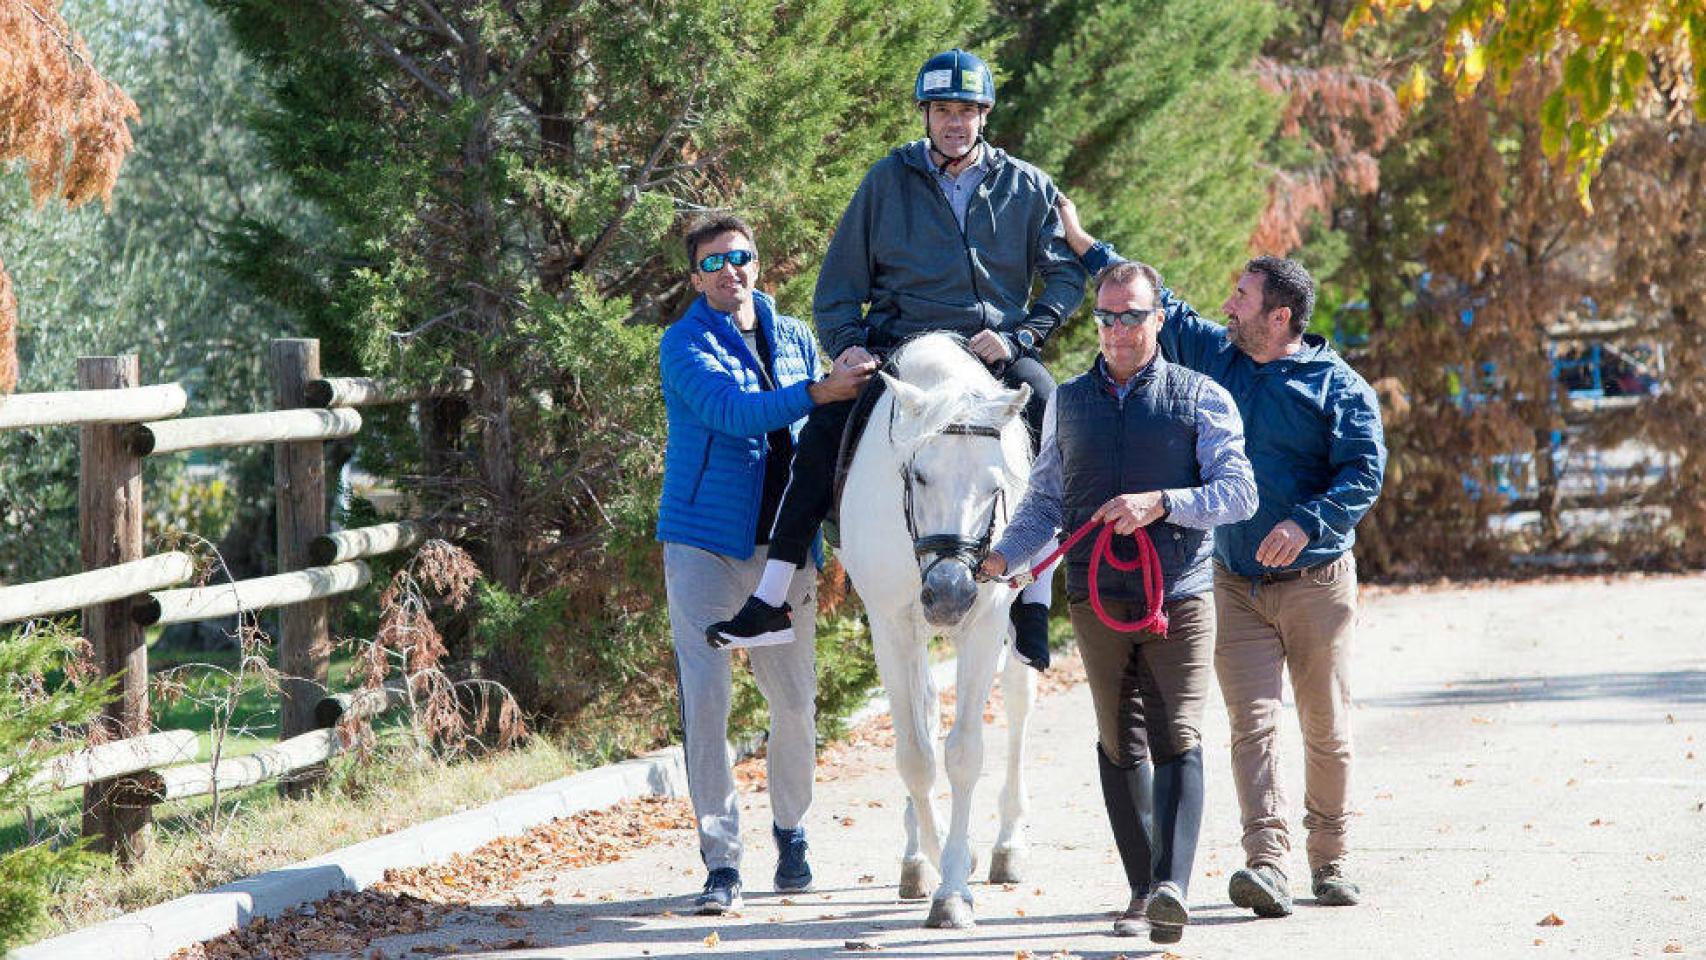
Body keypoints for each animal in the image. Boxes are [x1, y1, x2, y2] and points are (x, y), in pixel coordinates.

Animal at [839, 332, 1037, 934]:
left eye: (995, 486)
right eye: (919, 474)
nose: (949, 593)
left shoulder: (986, 621)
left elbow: (964, 753)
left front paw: (954, 889)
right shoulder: (890, 624)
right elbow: (915, 755)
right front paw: (933, 857)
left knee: (1018, 699)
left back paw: (1006, 845)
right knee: (925, 707)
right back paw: (918, 855)